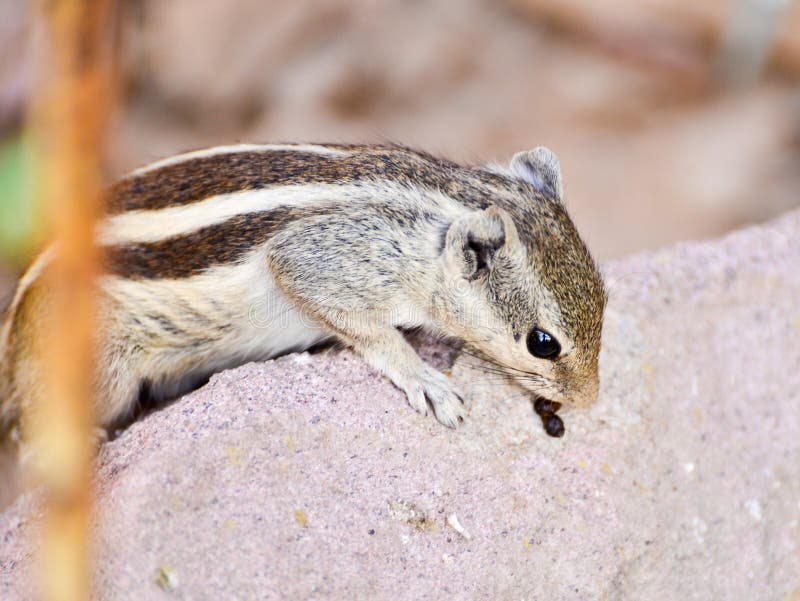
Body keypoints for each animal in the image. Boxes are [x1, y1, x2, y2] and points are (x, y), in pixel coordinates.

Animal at [0, 142, 606, 452]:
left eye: (604, 296)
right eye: (543, 343)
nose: (589, 399)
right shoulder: (322, 262)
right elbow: (371, 332)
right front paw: (426, 380)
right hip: (101, 376)